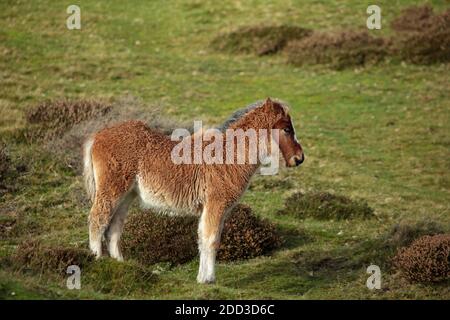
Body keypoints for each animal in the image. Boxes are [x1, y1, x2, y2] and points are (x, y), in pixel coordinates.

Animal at [83, 97, 304, 282]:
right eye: (286, 129)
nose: (299, 158)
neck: (228, 156)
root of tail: (97, 136)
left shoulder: (215, 209)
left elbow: (204, 238)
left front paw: (202, 277)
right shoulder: (215, 204)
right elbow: (211, 240)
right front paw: (208, 280)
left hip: (127, 196)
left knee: (113, 228)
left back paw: (122, 265)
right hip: (112, 189)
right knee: (97, 220)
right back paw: (96, 260)